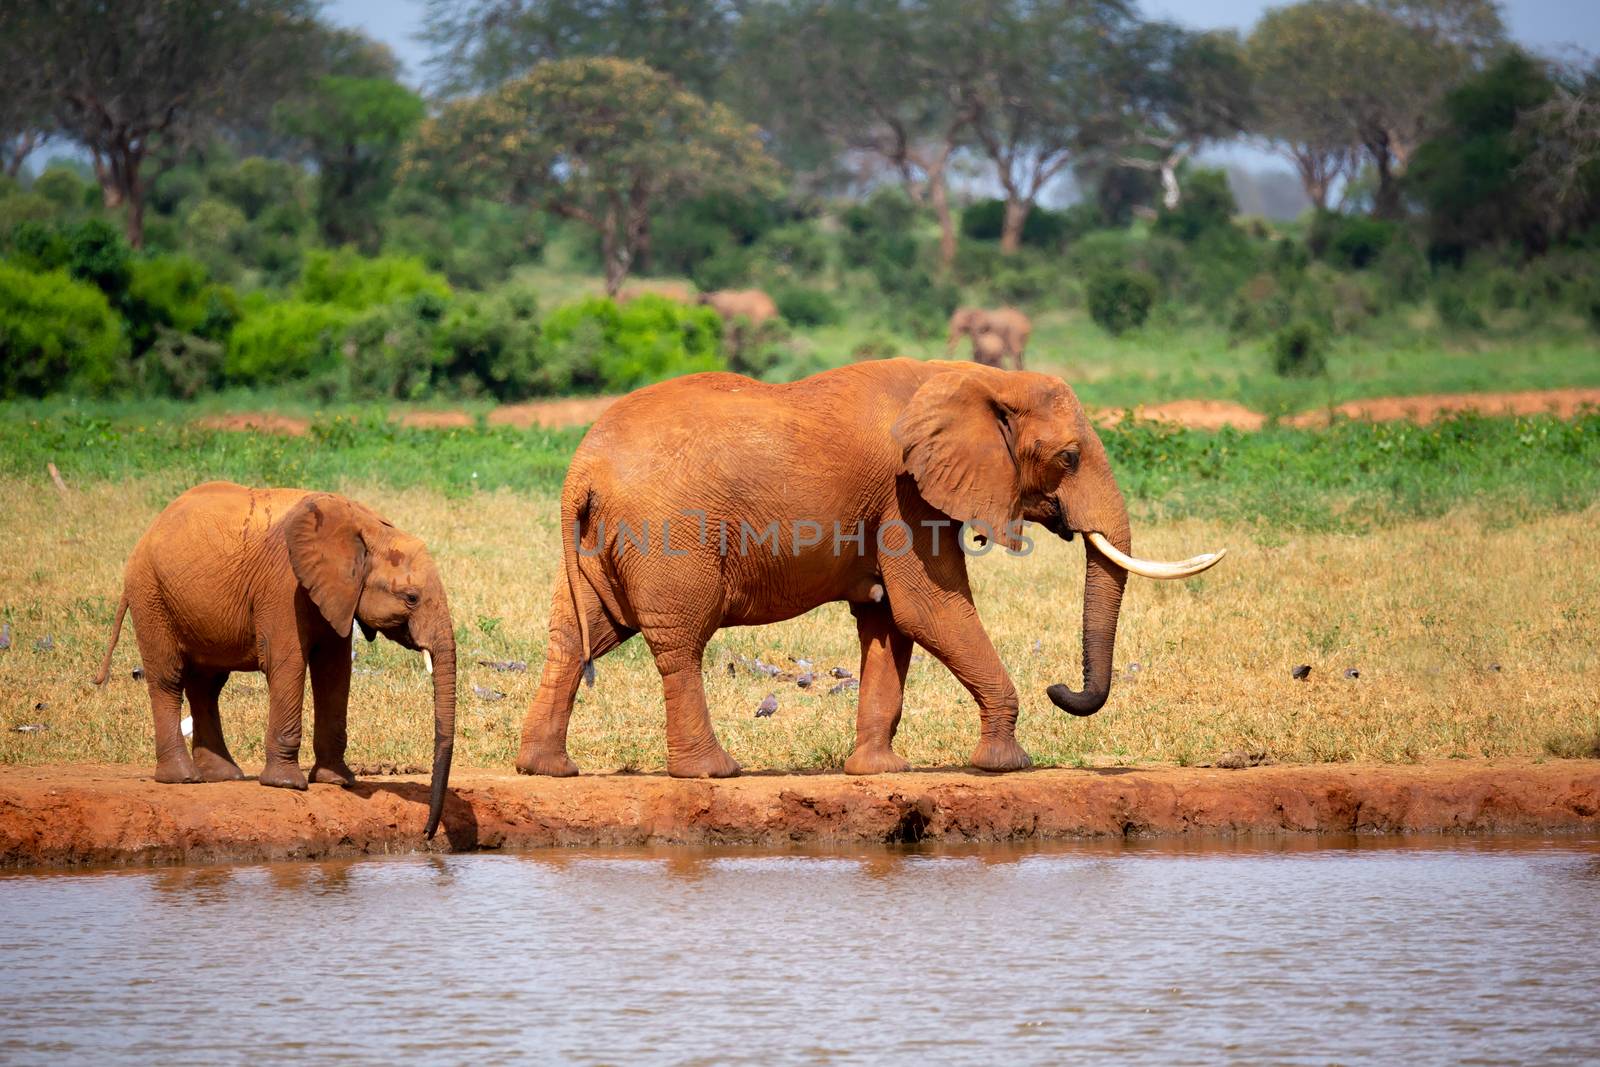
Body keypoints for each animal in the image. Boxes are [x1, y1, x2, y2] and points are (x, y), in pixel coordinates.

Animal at [94, 483, 457, 844]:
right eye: (411, 598)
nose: (427, 833)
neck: (368, 528)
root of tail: (150, 529)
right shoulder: (284, 585)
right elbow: (288, 663)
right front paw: (288, 785)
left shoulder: (336, 594)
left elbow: (334, 670)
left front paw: (338, 781)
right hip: (151, 595)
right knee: (168, 679)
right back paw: (183, 778)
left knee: (206, 685)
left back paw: (224, 776)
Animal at [518, 358, 1216, 783]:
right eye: (1069, 457)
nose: (1060, 688)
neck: (978, 377)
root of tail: (581, 470)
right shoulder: (906, 494)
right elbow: (929, 608)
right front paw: (1007, 765)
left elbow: (888, 621)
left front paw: (879, 772)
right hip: (667, 534)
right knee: (681, 643)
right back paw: (714, 772)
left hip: (598, 543)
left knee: (579, 635)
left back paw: (547, 769)